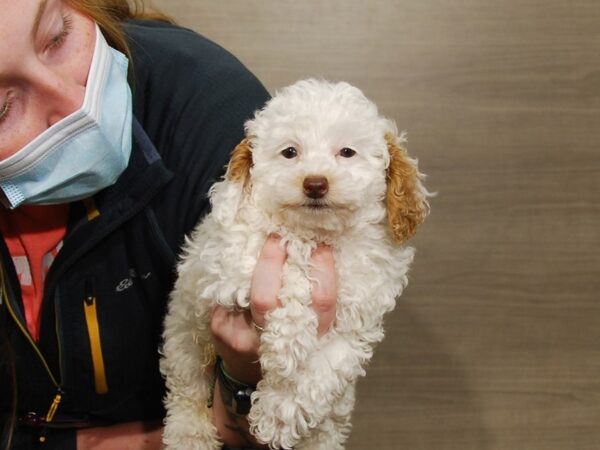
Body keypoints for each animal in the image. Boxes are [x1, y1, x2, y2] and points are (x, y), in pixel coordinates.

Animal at [162, 79, 428, 448]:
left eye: (347, 152)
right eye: (290, 152)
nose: (315, 183)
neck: (316, 234)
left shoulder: (358, 318)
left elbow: (328, 365)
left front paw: (279, 411)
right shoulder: (227, 262)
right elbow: (294, 275)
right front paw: (288, 344)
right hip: (186, 337)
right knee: (187, 392)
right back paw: (189, 435)